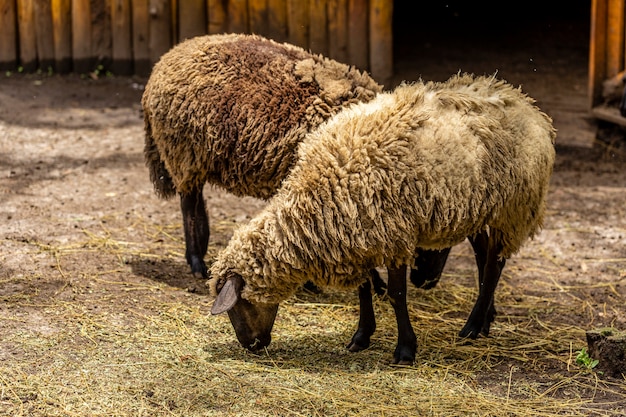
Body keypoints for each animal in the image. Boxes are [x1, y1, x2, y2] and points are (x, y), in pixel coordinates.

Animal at [141, 33, 380, 280]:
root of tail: (167, 58)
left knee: (196, 199)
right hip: (183, 155)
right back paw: (197, 262)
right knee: (188, 204)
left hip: (196, 160)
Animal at [210, 72, 556, 364]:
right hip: (479, 209)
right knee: (484, 256)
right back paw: (485, 320)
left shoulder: (395, 236)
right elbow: (364, 290)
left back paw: (472, 327)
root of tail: (521, 99)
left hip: (512, 208)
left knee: (495, 264)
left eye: (239, 303)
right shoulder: (358, 237)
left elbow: (397, 295)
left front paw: (405, 350)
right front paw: (361, 337)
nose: (251, 345)